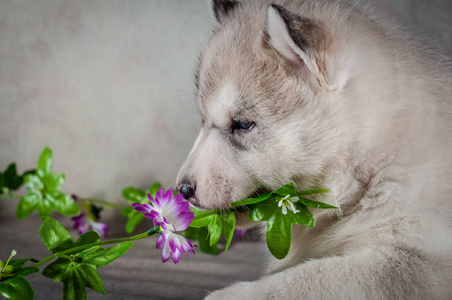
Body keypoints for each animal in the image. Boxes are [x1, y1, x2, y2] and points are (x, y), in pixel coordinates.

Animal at [175, 0, 450, 298]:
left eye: (243, 124)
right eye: (203, 119)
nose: (183, 190)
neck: (375, 168)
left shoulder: (420, 260)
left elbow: (314, 278)